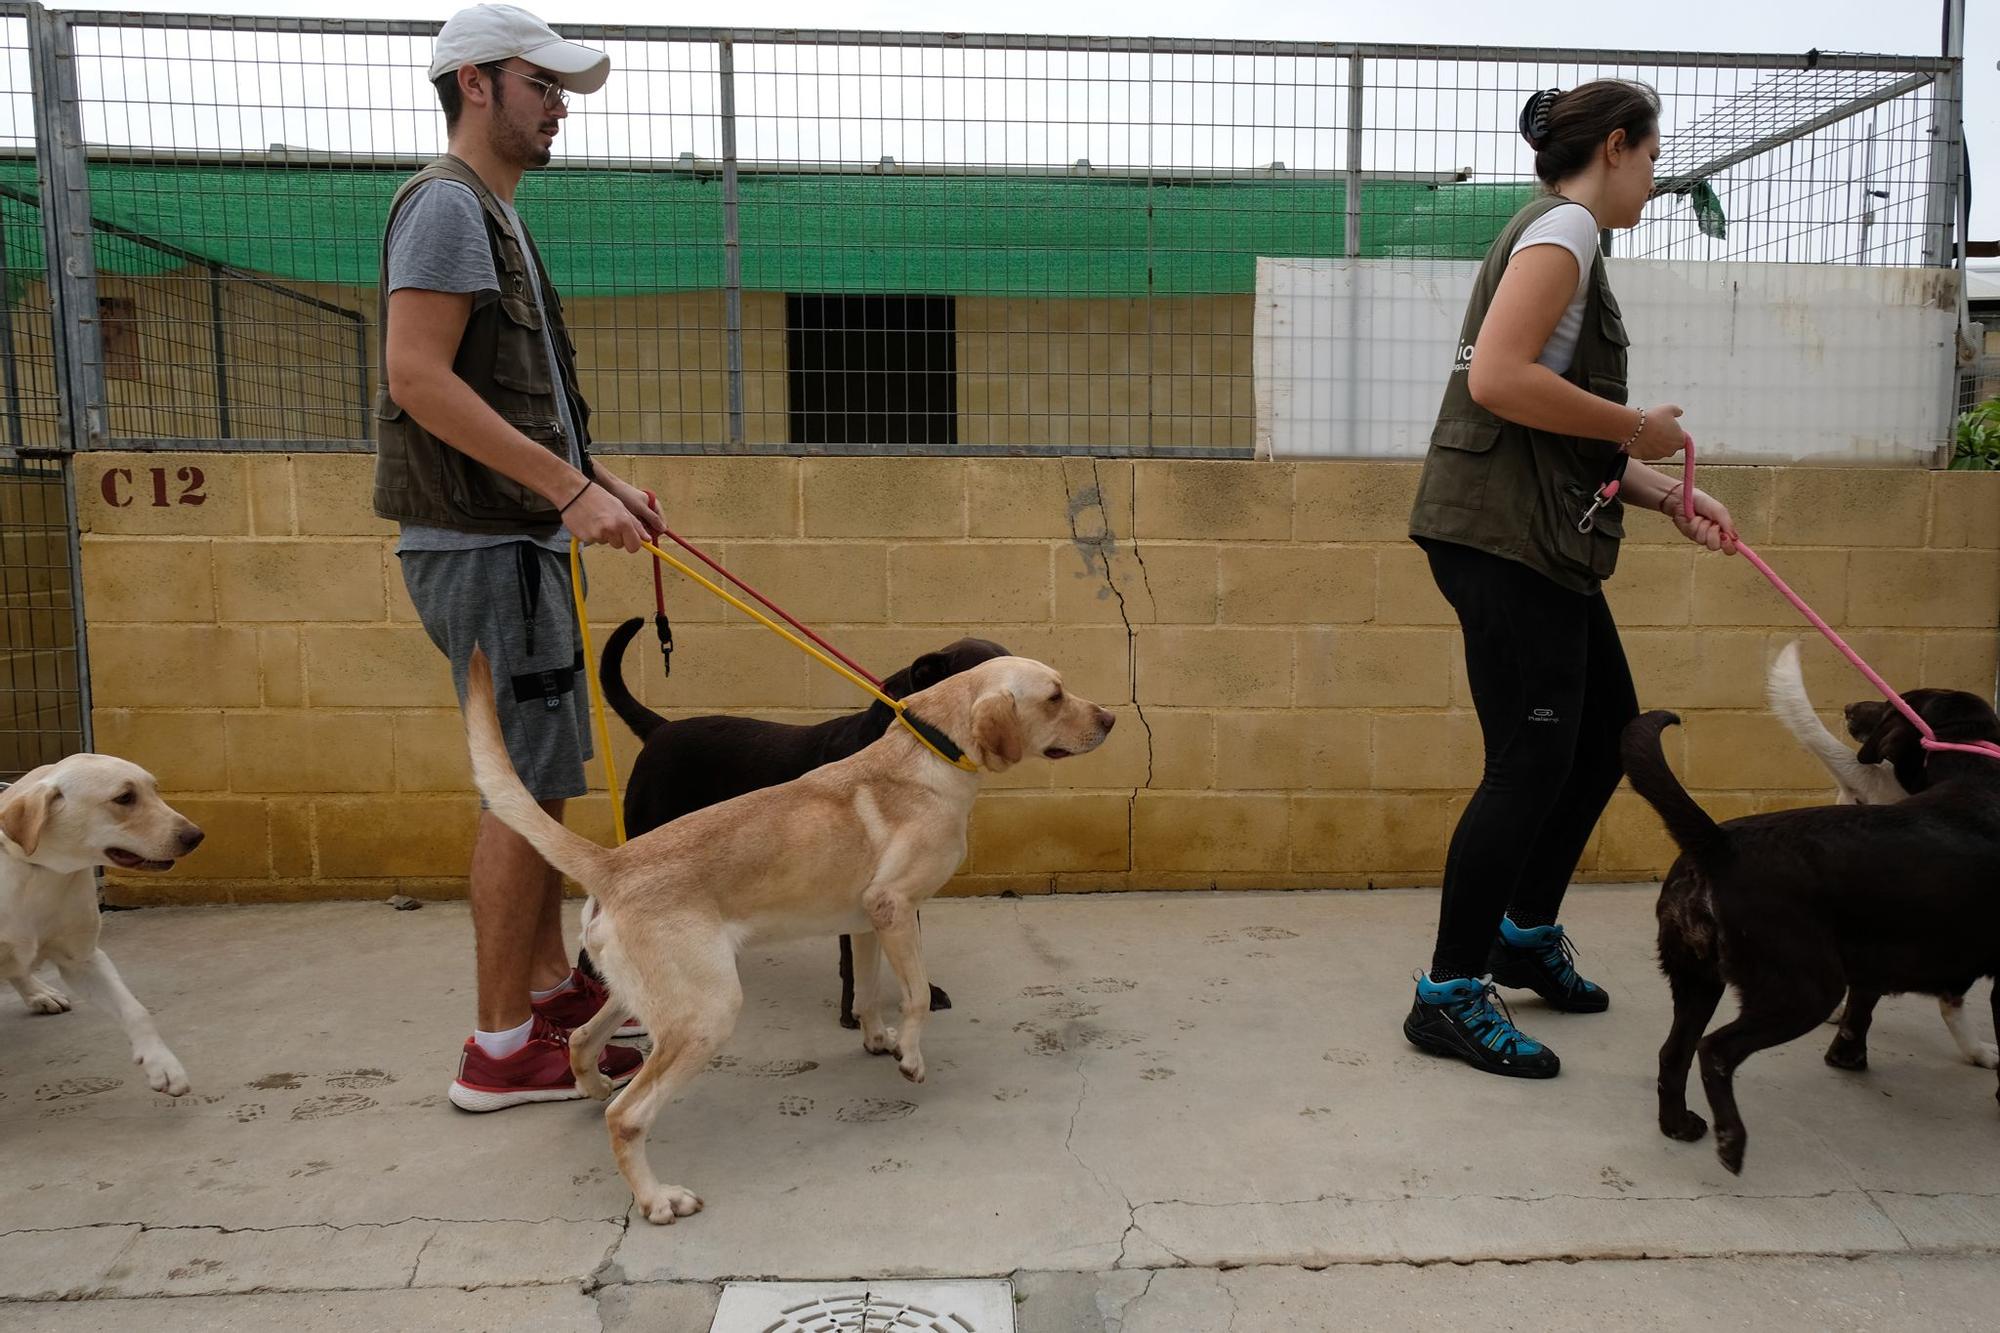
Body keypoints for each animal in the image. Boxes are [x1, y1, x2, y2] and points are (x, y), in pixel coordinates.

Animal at [0, 752, 203, 1096]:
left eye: (155, 790)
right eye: (125, 797)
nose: (196, 836)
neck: (40, 871)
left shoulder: (83, 961)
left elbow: (136, 1010)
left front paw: (163, 1064)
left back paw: (40, 993)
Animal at [1624, 696, 2000, 1176]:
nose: (1850, 708)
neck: (1976, 775)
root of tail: (1720, 844)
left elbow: (1864, 1008)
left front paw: (1849, 1058)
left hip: (1698, 981)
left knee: (1674, 1053)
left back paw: (1678, 1125)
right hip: (1804, 990)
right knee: (1715, 1051)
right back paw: (1732, 1141)